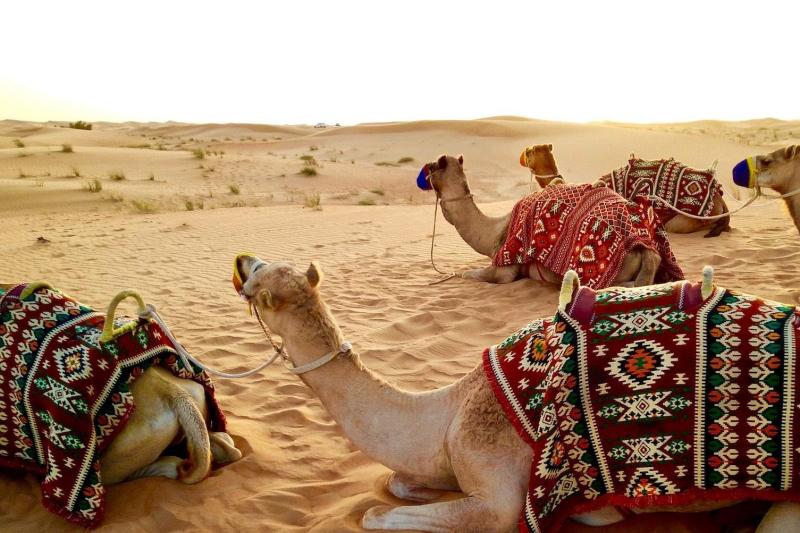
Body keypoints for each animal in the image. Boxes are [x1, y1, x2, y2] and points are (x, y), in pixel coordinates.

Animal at [234, 254, 800, 533]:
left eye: (257, 280)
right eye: (264, 265)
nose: (241, 259)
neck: (447, 411)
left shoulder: (498, 491)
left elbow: (377, 514)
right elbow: (398, 482)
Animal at [427, 154, 667, 286]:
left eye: (432, 166)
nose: (424, 173)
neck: (493, 231)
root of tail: (646, 248)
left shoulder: (504, 270)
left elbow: (465, 273)